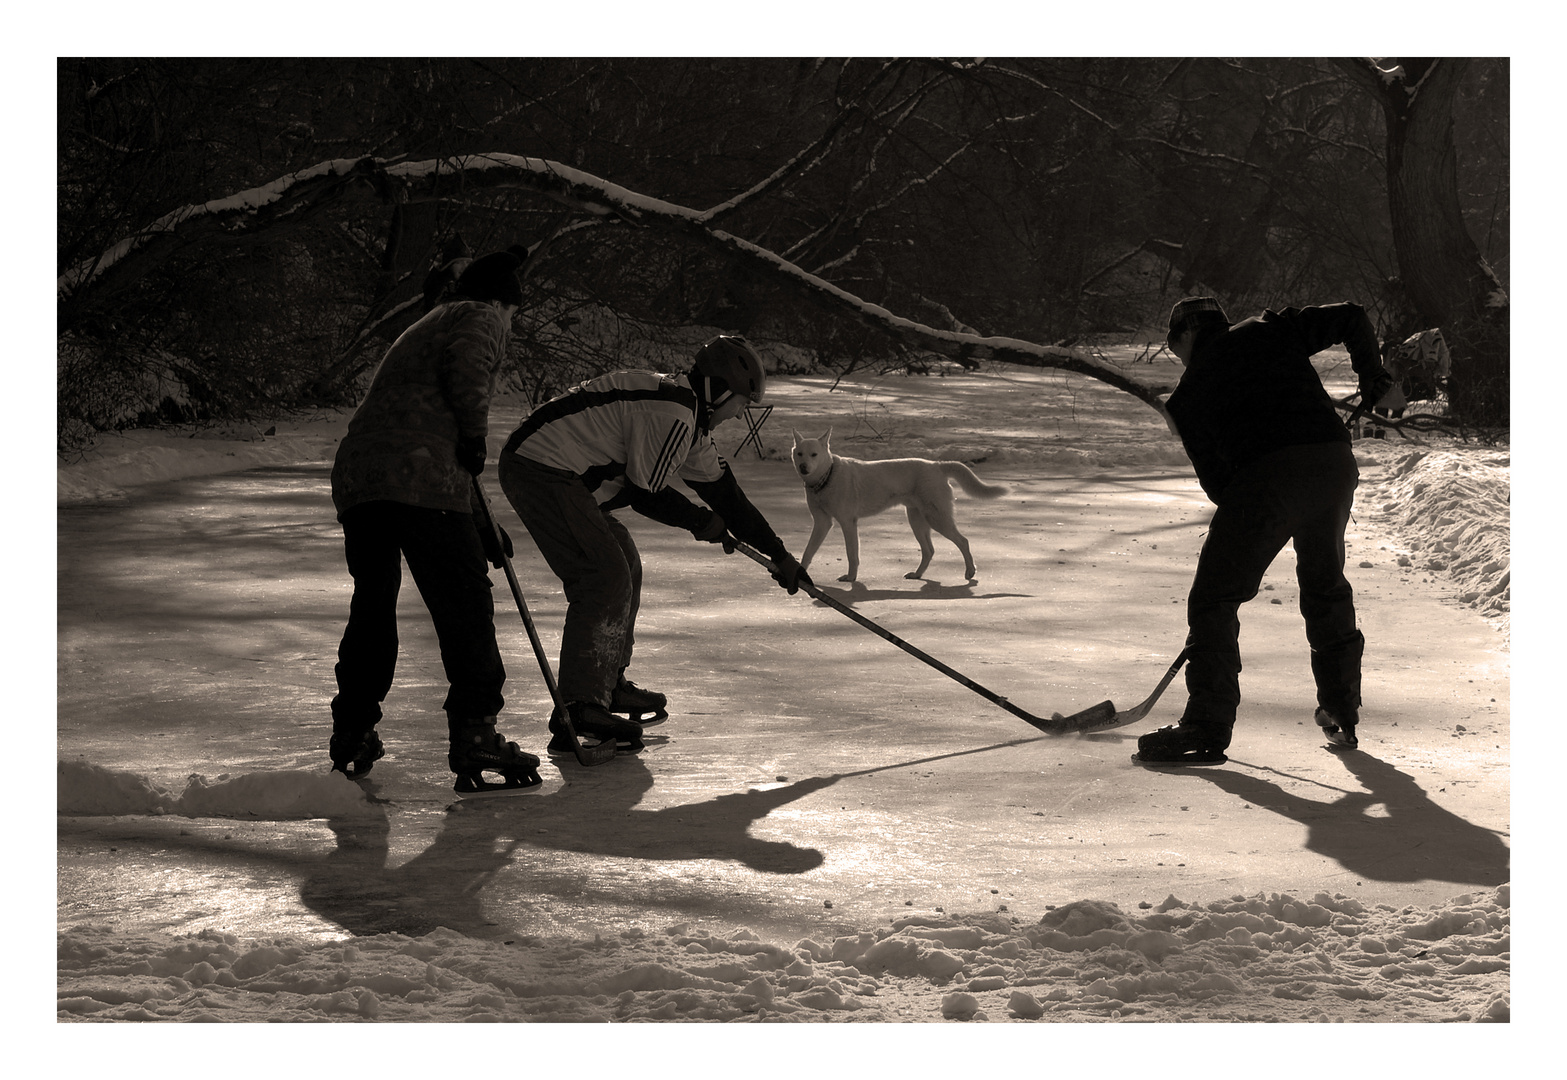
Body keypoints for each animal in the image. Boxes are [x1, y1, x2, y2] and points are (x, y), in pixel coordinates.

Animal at [796, 426, 1002, 579]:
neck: (827, 478)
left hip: (937, 519)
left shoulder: (848, 523)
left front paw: (851, 578)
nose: (803, 467)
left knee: (963, 541)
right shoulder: (822, 523)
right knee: (929, 550)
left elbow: (851, 555)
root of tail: (937, 465)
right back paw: (917, 574)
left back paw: (970, 571)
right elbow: (808, 552)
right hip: (917, 520)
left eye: (814, 454)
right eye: (799, 454)